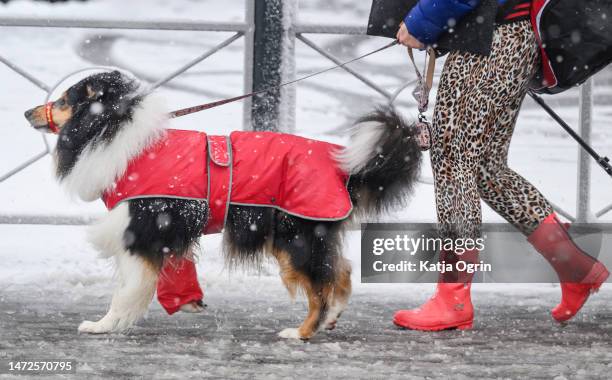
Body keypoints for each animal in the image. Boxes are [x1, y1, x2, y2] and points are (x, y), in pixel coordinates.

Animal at [23, 72, 420, 340]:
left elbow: (126, 289)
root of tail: (343, 169)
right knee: (341, 271)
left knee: (321, 286)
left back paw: (302, 332)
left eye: (64, 100)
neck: (113, 128)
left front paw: (104, 325)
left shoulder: (141, 232)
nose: (27, 113)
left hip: (295, 238)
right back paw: (331, 319)